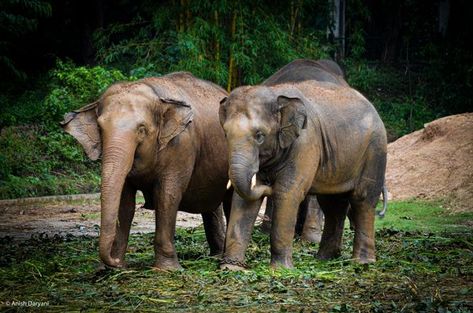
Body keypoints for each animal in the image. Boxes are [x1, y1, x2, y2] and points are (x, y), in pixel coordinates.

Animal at [60, 70, 230, 268]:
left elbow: (167, 196)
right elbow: (125, 203)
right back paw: (215, 256)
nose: (113, 261)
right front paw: (116, 267)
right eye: (100, 129)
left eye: (141, 129)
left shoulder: (181, 146)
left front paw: (166, 270)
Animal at [219, 59, 386, 270]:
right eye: (225, 134)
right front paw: (231, 268)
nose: (266, 184)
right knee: (333, 205)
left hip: (375, 150)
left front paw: (281, 270)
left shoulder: (306, 143)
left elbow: (288, 192)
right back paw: (325, 259)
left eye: (259, 135)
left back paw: (362, 263)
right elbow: (244, 199)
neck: (277, 95)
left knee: (363, 199)